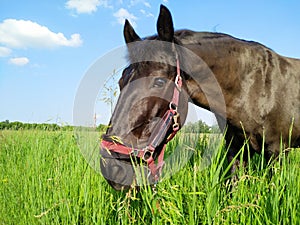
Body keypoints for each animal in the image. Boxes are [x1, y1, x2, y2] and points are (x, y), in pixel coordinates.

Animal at [101, 4, 300, 190]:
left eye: (159, 82)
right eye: (121, 81)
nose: (111, 167)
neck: (254, 88)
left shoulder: (277, 152)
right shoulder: (236, 150)